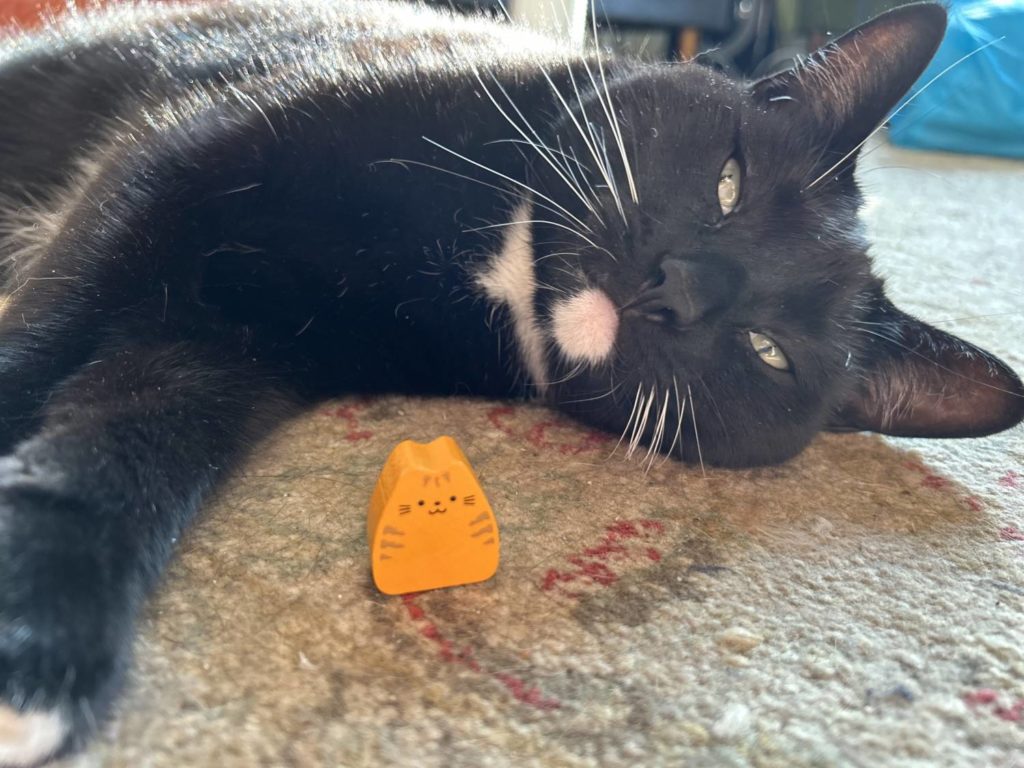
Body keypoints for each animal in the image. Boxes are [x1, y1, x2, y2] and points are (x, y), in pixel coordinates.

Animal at [0, 0, 1015, 765]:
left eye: (771, 353)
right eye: (730, 182)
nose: (678, 289)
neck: (502, 261)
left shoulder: (229, 350)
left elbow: (129, 441)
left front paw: (41, 641)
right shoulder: (178, 163)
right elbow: (50, 324)